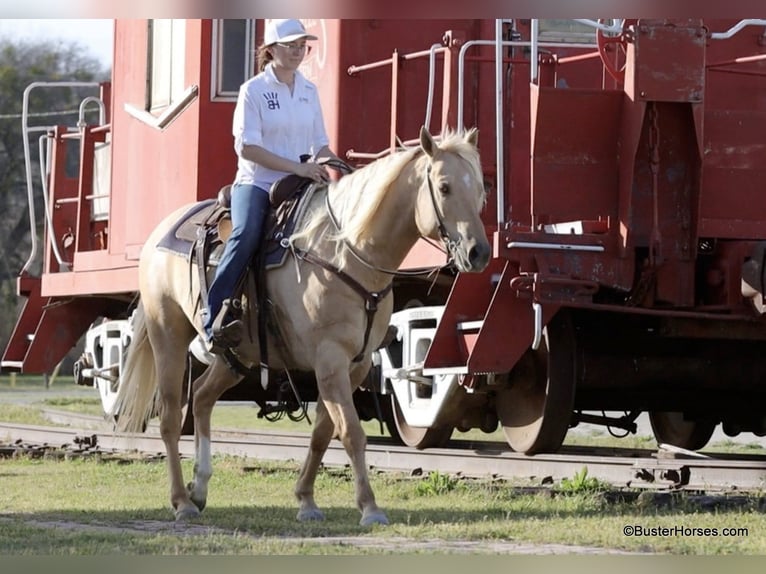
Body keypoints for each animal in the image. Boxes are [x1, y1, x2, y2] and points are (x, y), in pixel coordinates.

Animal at [113, 126, 490, 525]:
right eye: (445, 187)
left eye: (481, 189)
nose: (479, 252)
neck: (347, 253)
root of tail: (159, 233)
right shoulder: (330, 359)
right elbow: (351, 431)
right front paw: (370, 507)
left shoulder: (355, 364)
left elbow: (324, 432)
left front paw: (306, 500)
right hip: (167, 336)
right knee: (171, 418)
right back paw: (181, 502)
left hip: (238, 355)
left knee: (201, 397)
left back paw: (199, 488)